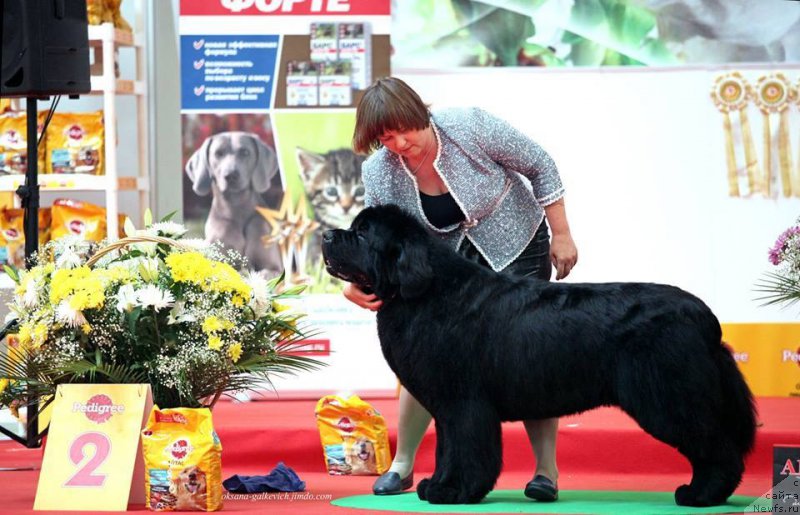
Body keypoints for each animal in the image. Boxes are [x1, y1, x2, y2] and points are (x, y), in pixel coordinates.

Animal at [320, 204, 756, 506]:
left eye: (362, 234)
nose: (325, 235)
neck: (425, 291)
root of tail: (705, 316)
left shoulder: (464, 403)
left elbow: (467, 449)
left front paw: (455, 491)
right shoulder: (447, 406)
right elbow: (447, 449)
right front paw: (438, 485)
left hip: (668, 397)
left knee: (716, 447)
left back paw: (701, 495)